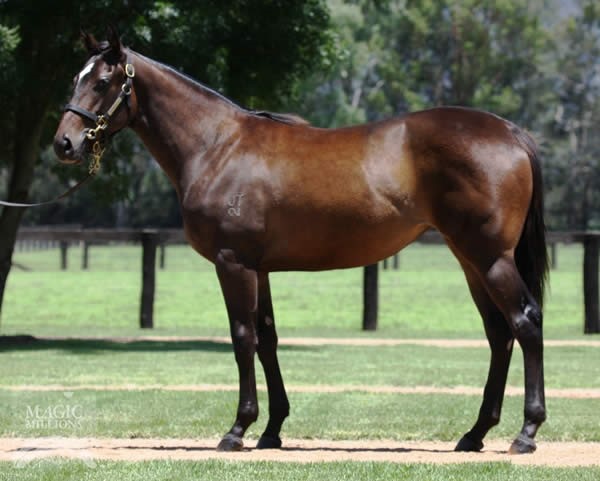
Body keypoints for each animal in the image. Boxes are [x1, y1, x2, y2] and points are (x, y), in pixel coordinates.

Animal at [54, 31, 548, 454]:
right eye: (75, 78)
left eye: (101, 82)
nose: (64, 144)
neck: (218, 146)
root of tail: (509, 132)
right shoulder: (259, 268)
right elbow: (268, 339)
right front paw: (272, 429)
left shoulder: (233, 263)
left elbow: (242, 337)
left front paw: (237, 429)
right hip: (470, 260)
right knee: (499, 333)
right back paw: (475, 432)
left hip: (491, 258)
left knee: (525, 322)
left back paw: (525, 433)